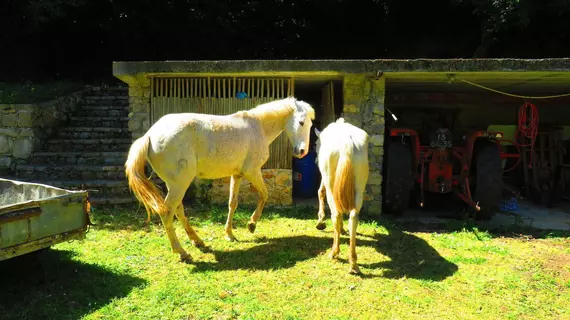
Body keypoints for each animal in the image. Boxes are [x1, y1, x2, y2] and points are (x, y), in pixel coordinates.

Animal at [124, 97, 312, 262]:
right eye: (301, 122)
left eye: (310, 124)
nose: (302, 152)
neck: (258, 127)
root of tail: (149, 135)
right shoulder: (252, 172)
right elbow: (264, 195)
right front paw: (251, 224)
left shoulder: (237, 175)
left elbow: (232, 203)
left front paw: (229, 234)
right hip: (179, 185)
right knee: (167, 213)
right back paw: (182, 253)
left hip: (175, 185)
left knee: (178, 210)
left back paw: (197, 241)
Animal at [310, 119, 368, 274]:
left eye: (316, 144)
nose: (315, 162)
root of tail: (347, 142)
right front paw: (341, 229)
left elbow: (320, 192)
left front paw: (321, 222)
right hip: (359, 189)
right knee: (353, 217)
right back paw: (353, 262)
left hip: (331, 184)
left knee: (336, 213)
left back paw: (334, 252)